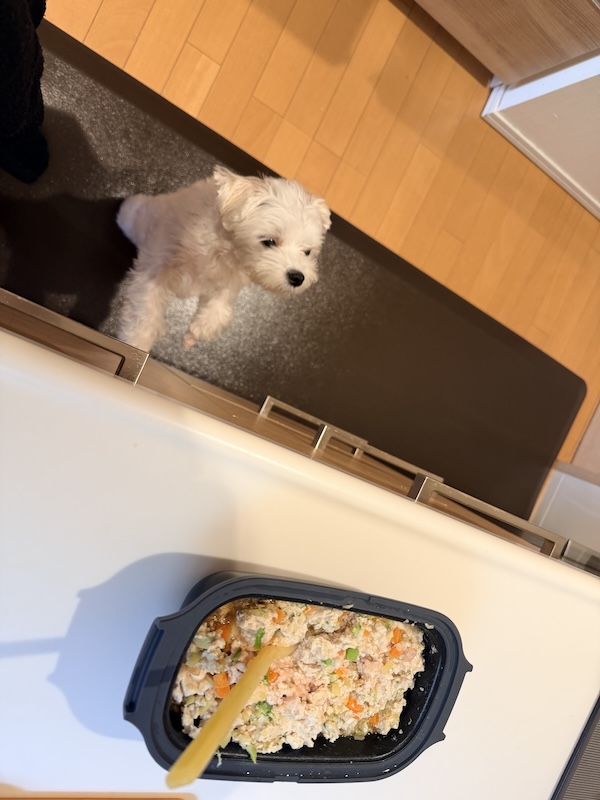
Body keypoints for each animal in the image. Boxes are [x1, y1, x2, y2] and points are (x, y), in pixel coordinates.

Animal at [116, 166, 331, 352]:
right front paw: (136, 344)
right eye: (269, 241)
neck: (227, 251)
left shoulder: (229, 282)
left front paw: (192, 336)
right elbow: (144, 314)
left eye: (307, 251)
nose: (298, 277)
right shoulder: (156, 270)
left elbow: (216, 314)